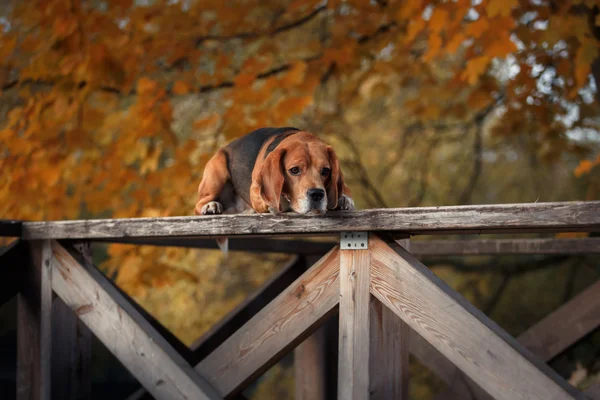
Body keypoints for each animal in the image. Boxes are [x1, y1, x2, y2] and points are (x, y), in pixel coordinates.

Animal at [195, 128, 354, 228]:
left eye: (326, 171)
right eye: (294, 170)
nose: (317, 194)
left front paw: (343, 199)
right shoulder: (255, 192)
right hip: (217, 171)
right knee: (198, 205)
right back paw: (210, 205)